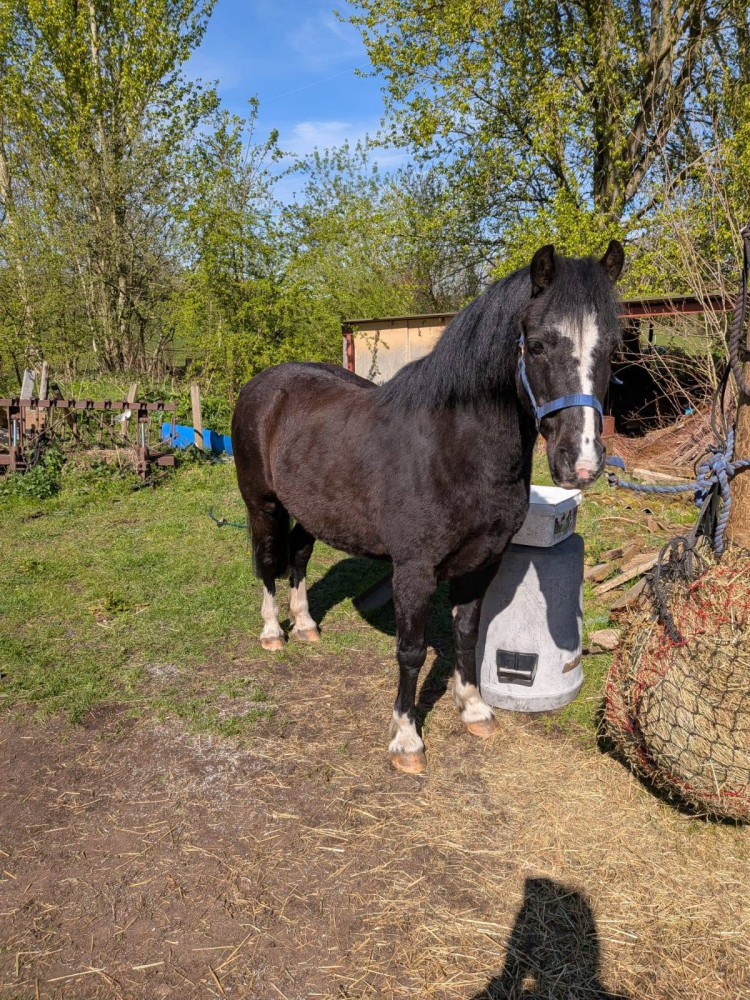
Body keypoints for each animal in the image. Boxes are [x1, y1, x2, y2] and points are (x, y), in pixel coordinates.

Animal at [231, 240, 625, 773]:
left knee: (298, 554)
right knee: (269, 559)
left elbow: (467, 634)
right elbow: (412, 651)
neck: (453, 447)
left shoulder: (482, 562)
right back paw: (274, 632)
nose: (580, 462)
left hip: (311, 511)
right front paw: (406, 739)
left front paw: (474, 710)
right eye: (539, 345)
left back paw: (308, 625)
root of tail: (264, 383)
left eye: (612, 349)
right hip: (263, 504)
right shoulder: (414, 571)